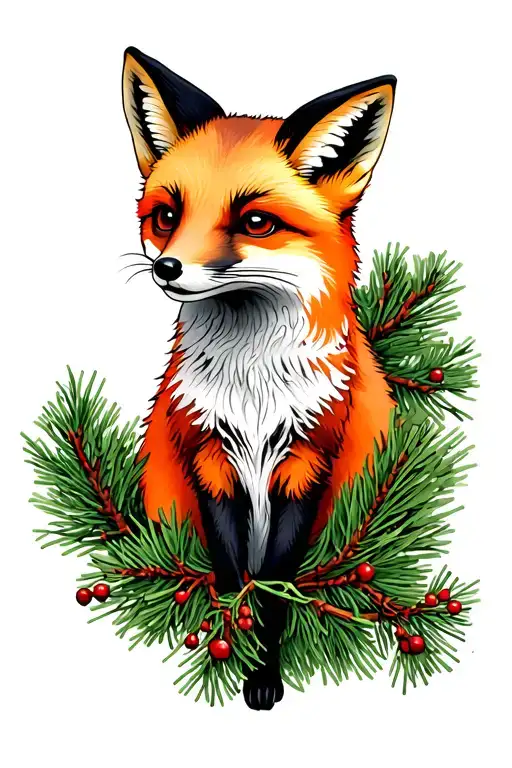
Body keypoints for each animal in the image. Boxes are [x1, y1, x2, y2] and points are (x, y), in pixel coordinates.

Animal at [121, 46, 396, 710]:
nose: (167, 268)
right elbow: (232, 577)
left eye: (255, 222)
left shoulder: (307, 460)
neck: (253, 391)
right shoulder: (208, 457)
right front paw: (231, 650)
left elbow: (271, 588)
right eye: (166, 216)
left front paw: (263, 674)